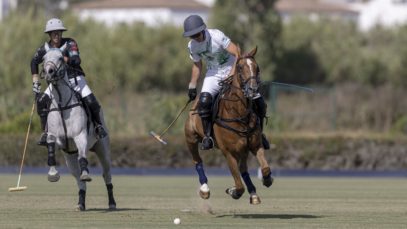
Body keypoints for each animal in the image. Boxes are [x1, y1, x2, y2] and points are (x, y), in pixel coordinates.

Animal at [42, 43, 115, 211]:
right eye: (44, 58)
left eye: (61, 58)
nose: (49, 72)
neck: (62, 104)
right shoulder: (57, 139)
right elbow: (50, 148)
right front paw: (53, 174)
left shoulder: (80, 136)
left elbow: (83, 157)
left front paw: (86, 173)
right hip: (70, 157)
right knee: (78, 180)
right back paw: (81, 203)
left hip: (103, 149)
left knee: (106, 174)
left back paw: (112, 203)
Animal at [185, 46, 274, 204]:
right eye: (240, 67)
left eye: (257, 68)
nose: (253, 90)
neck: (239, 114)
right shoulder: (228, 152)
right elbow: (239, 186)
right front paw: (233, 191)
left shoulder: (255, 145)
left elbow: (265, 168)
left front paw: (267, 180)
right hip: (191, 138)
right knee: (197, 161)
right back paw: (204, 189)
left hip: (243, 149)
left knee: (243, 169)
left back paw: (253, 194)